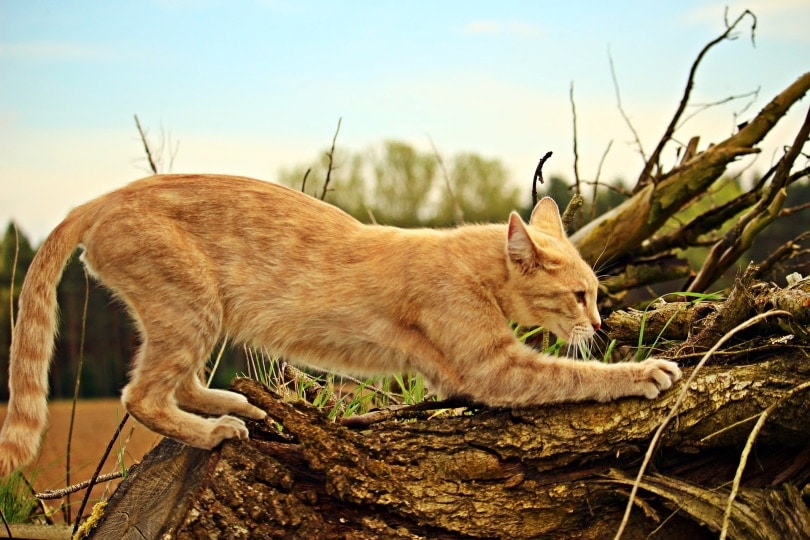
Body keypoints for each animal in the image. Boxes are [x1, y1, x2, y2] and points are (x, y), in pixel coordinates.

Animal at [0, 175, 680, 474]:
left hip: (200, 315)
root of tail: (104, 195)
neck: (472, 264)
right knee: (141, 394)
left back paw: (240, 406)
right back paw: (216, 431)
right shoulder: (493, 368)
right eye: (579, 296)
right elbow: (573, 375)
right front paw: (645, 370)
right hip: (190, 309)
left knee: (182, 381)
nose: (600, 321)